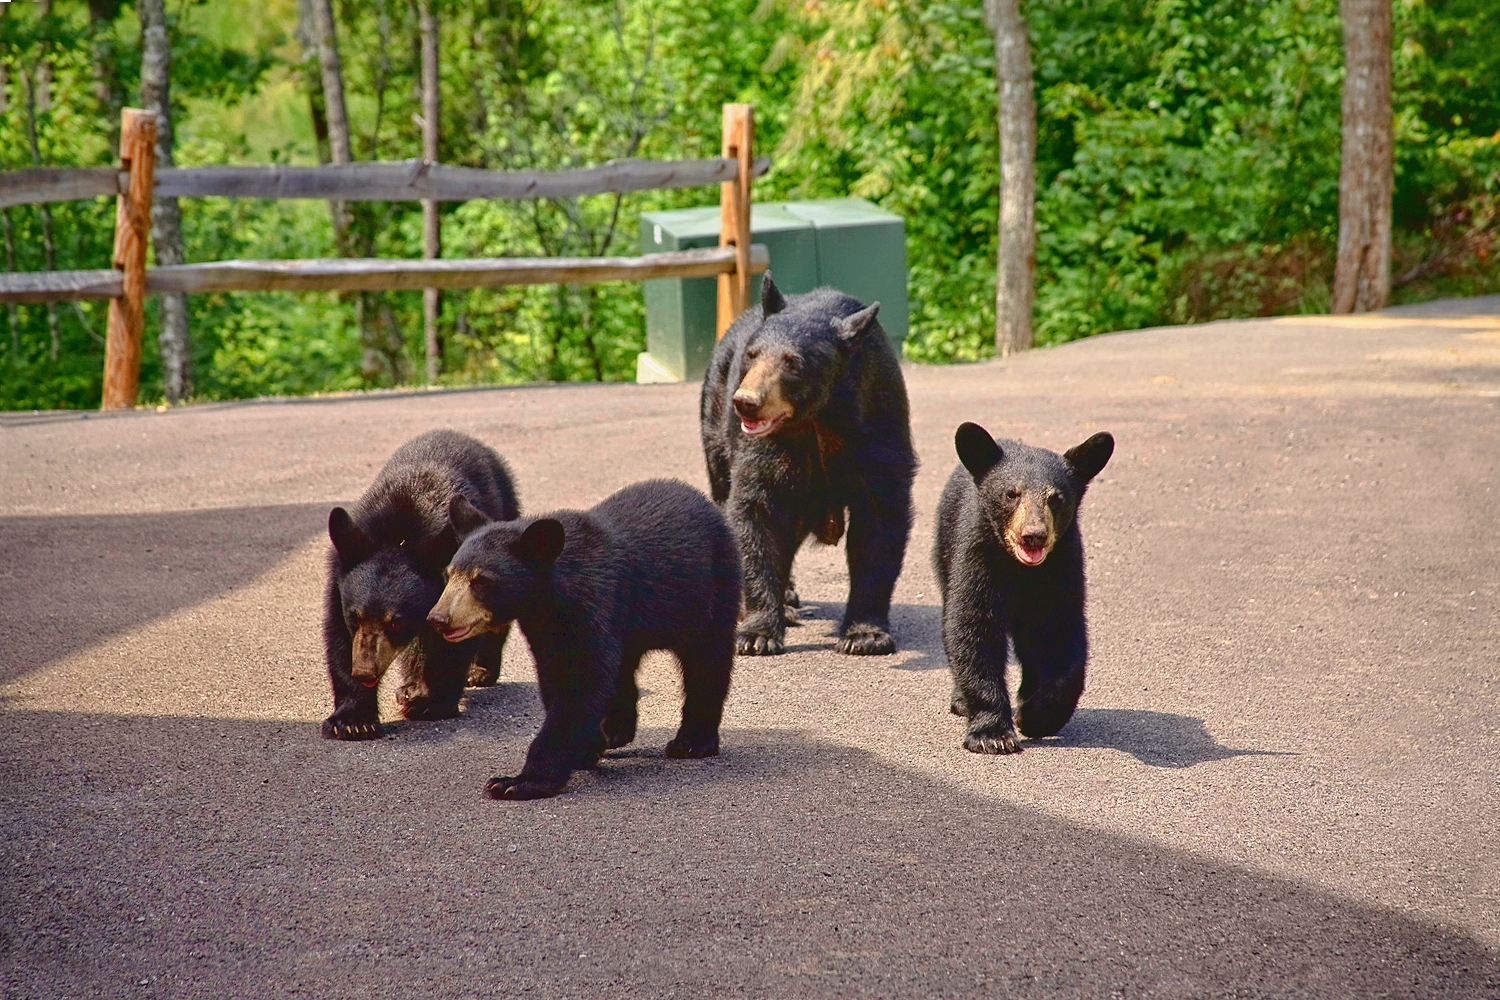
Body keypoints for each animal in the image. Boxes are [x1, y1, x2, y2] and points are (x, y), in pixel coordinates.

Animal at [324, 425, 522, 740]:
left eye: (396, 622)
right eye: (355, 616)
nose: (365, 672)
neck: (399, 537)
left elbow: (453, 639)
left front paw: (430, 702)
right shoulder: (339, 576)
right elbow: (339, 637)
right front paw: (353, 720)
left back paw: (479, 671)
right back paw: (409, 686)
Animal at [426, 479, 741, 803]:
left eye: (482, 581)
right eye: (449, 574)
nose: (438, 618)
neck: (548, 599)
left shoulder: (593, 604)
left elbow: (580, 681)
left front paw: (517, 782)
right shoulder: (545, 628)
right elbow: (556, 676)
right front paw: (586, 749)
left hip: (712, 591)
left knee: (707, 661)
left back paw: (691, 742)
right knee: (624, 667)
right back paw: (615, 730)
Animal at [699, 277, 912, 659]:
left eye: (793, 362)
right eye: (752, 355)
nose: (746, 403)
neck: (820, 419)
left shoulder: (879, 425)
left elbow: (879, 522)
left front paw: (866, 635)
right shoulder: (767, 447)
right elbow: (756, 510)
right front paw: (756, 633)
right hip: (716, 424)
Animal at [936, 419, 1116, 755]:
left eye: (1056, 497)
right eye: (1011, 494)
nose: (1034, 535)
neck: (1022, 570)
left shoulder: (1063, 566)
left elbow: (1063, 636)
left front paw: (1035, 714)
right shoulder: (977, 556)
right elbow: (973, 628)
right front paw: (992, 733)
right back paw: (961, 700)